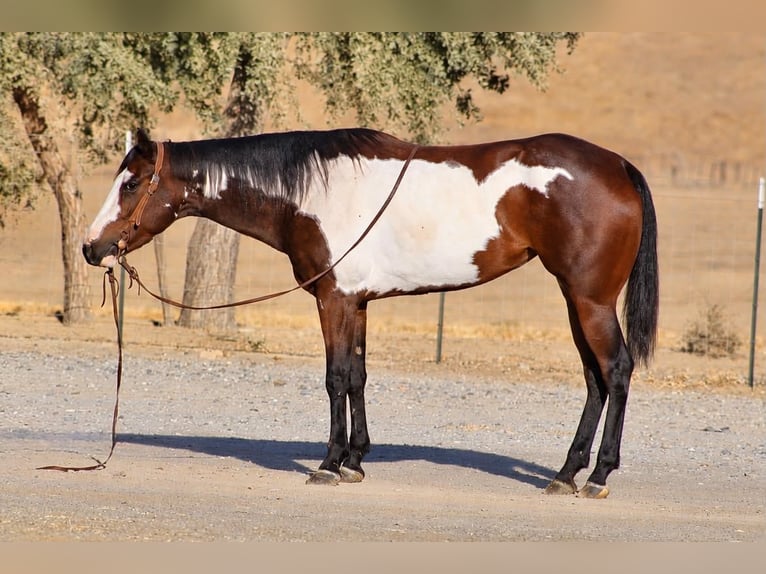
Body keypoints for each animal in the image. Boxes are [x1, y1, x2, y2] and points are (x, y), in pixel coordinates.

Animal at [83, 127, 658, 499]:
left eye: (130, 184)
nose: (91, 248)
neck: (311, 191)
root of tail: (618, 165)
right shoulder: (356, 302)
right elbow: (358, 376)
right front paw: (356, 461)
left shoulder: (333, 299)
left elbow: (336, 378)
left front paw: (328, 464)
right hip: (574, 298)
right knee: (593, 378)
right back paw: (566, 473)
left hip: (589, 299)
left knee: (615, 371)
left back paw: (598, 476)